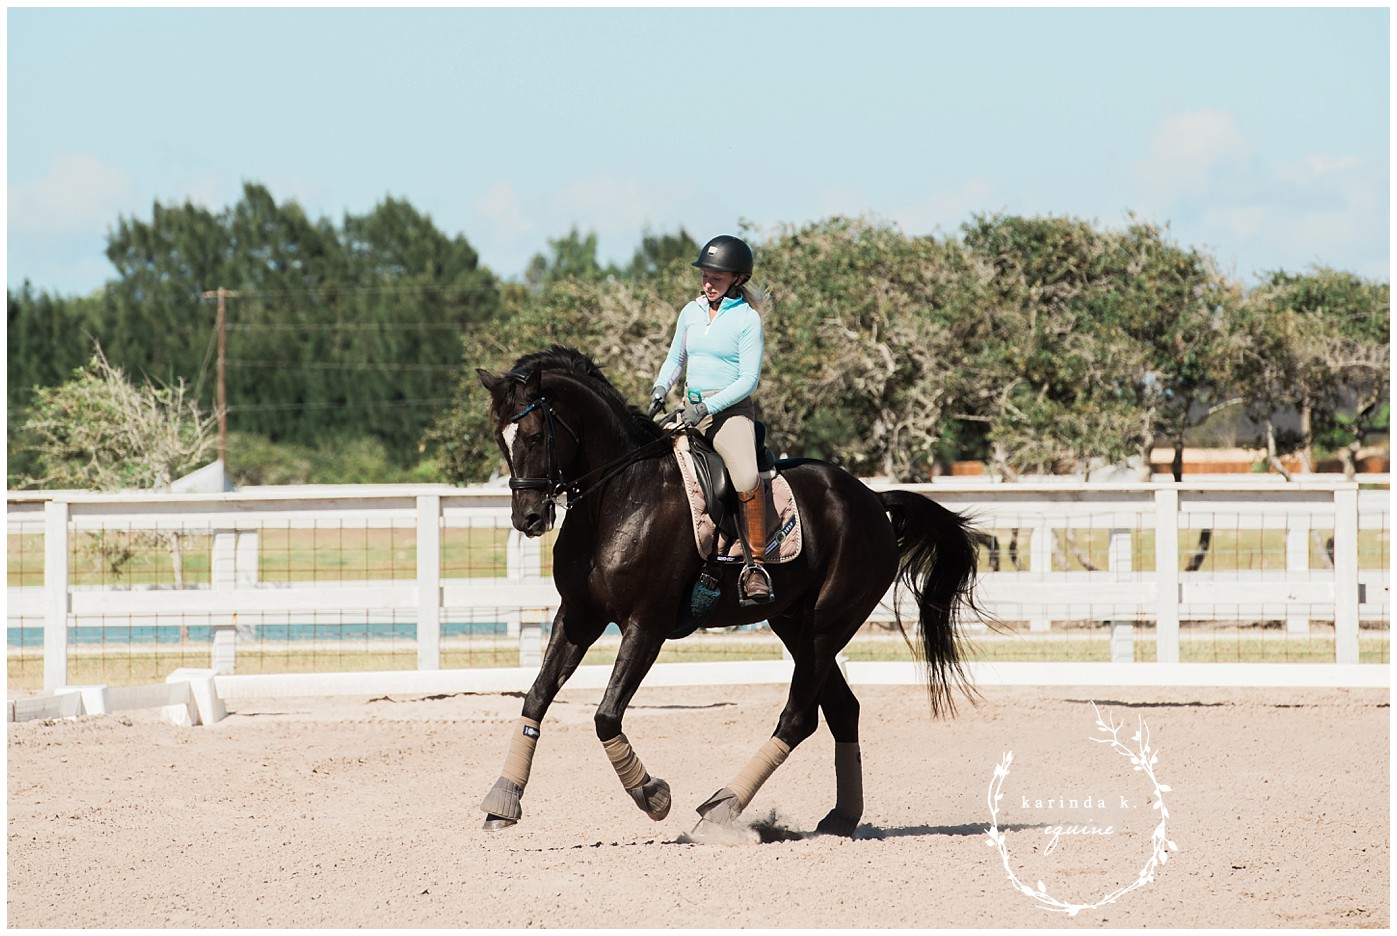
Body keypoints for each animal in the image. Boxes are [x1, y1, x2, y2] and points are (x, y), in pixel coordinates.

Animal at [475, 346, 983, 837]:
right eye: (502, 439)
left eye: (535, 437)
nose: (528, 519)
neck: (618, 497)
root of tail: (873, 499)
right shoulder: (578, 616)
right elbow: (536, 697)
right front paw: (503, 801)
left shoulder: (646, 624)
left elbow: (605, 715)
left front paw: (653, 795)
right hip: (793, 624)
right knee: (842, 710)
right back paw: (839, 819)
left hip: (827, 625)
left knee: (798, 717)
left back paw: (721, 809)